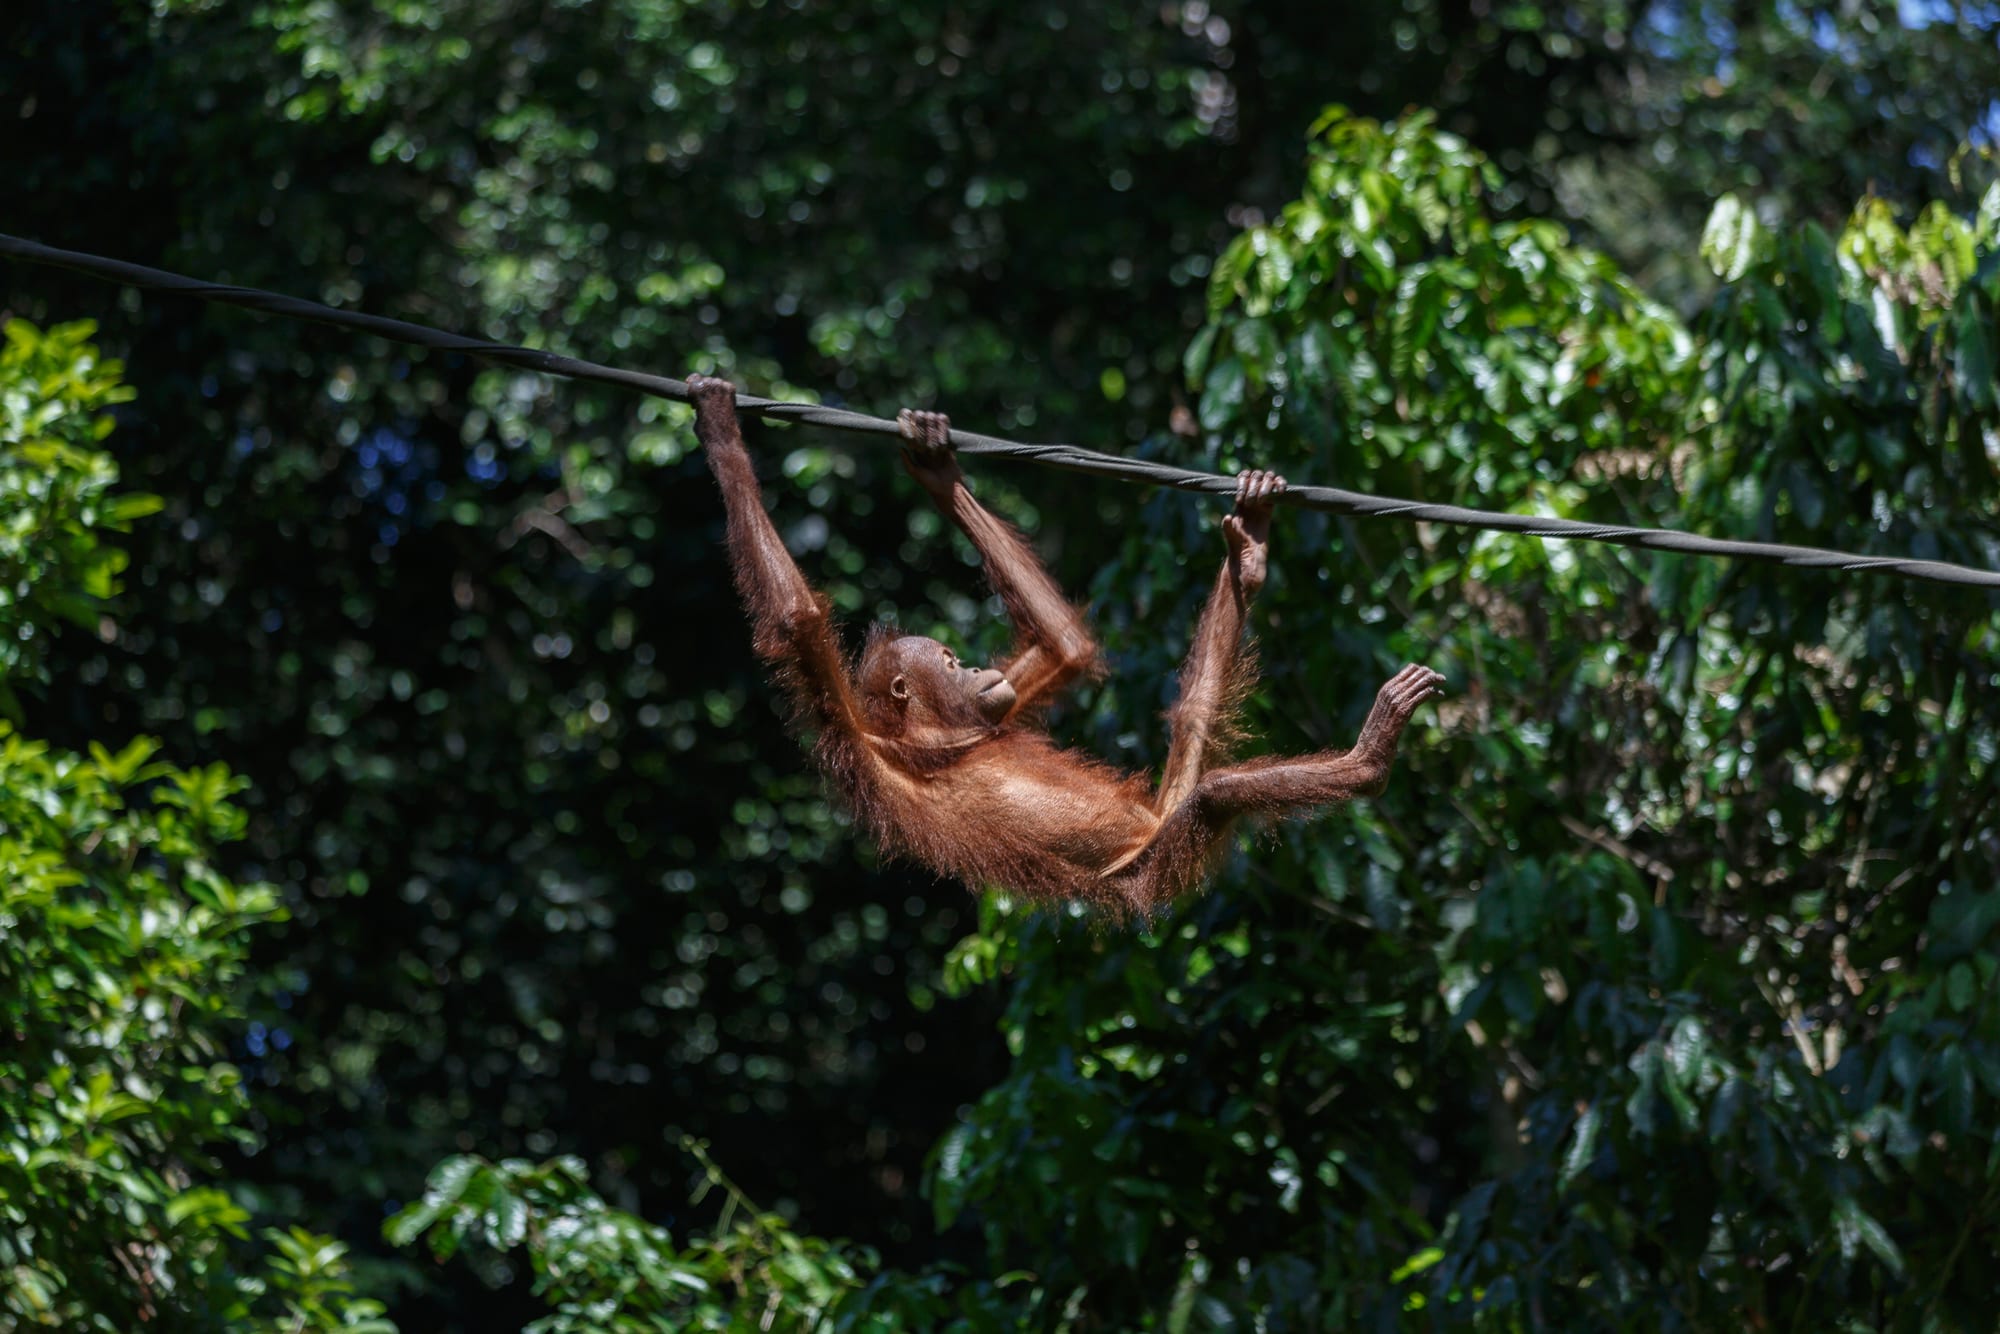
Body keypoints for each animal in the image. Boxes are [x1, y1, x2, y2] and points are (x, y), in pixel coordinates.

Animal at [687, 374, 1442, 915]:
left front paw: (935, 468)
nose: (975, 665)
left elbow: (1068, 649)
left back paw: (1250, 552)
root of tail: (1150, 826)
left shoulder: (1001, 705)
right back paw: (1368, 759)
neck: (935, 738)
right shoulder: (860, 738)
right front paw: (719, 428)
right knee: (1213, 795)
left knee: (1196, 720)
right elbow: (796, 619)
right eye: (950, 662)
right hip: (1156, 864)